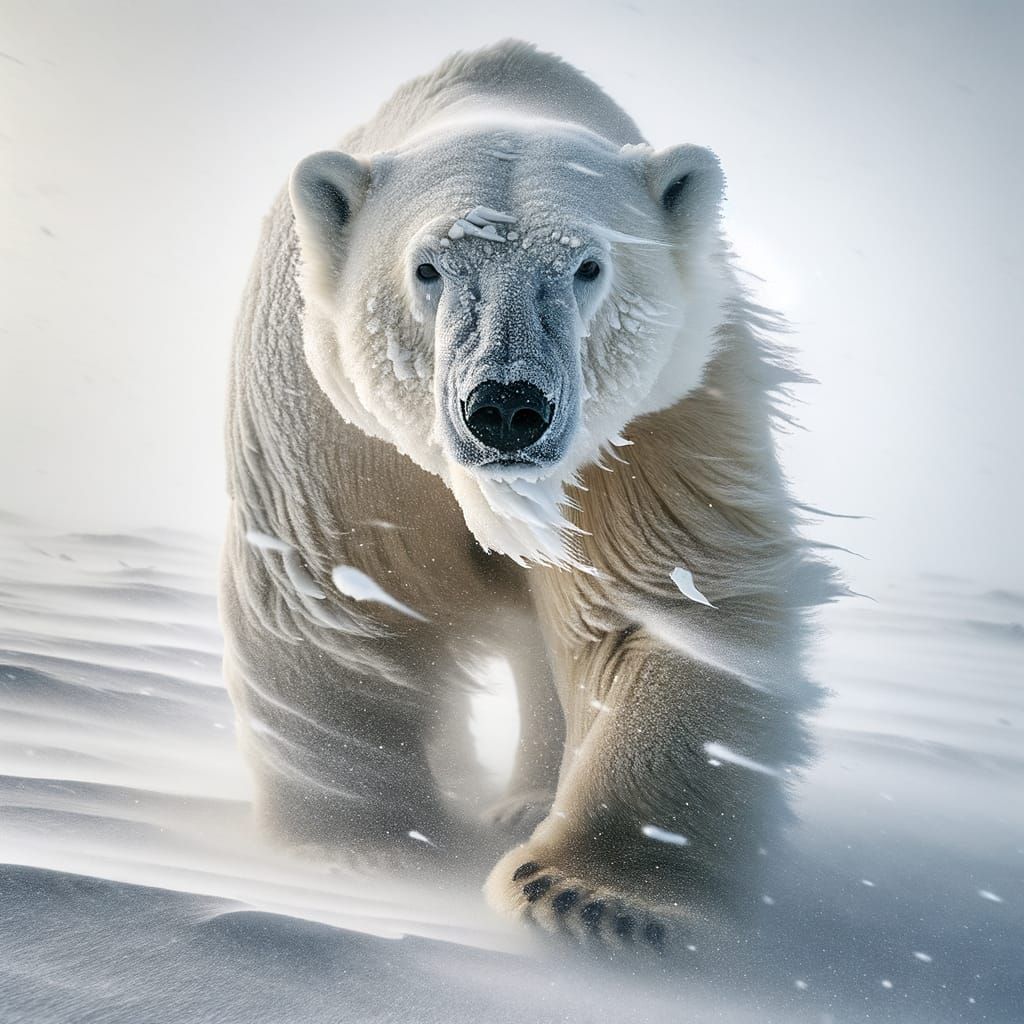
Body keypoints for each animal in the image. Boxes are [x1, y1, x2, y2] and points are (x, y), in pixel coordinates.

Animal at [220, 40, 838, 951]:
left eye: (587, 265)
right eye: (428, 267)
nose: (507, 407)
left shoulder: (654, 421)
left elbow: (662, 598)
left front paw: (591, 896)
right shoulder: (327, 418)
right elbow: (335, 588)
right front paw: (358, 847)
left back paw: (522, 805)